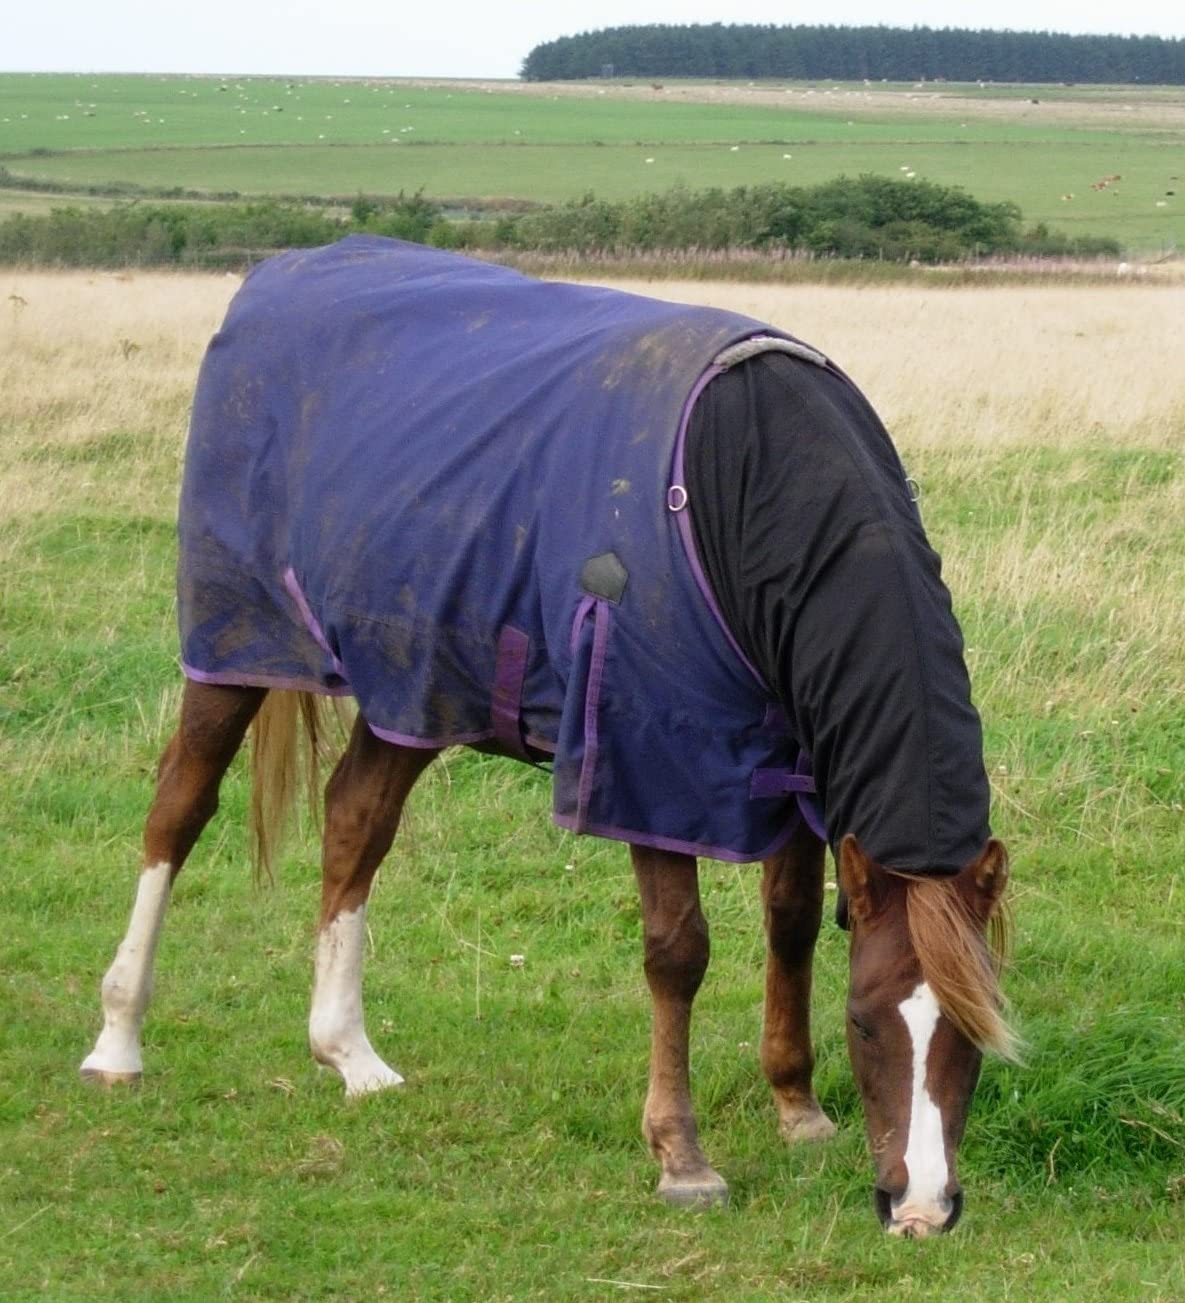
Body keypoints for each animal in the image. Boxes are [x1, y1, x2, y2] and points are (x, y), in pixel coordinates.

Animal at [81, 237, 1016, 1237]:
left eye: (975, 1030)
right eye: (866, 1022)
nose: (920, 1208)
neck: (743, 480)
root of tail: (277, 273)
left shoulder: (798, 757)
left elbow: (792, 919)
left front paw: (796, 1107)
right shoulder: (647, 763)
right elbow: (677, 953)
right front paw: (681, 1156)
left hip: (413, 681)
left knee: (354, 819)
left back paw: (349, 1054)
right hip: (238, 648)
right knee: (178, 809)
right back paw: (118, 1039)